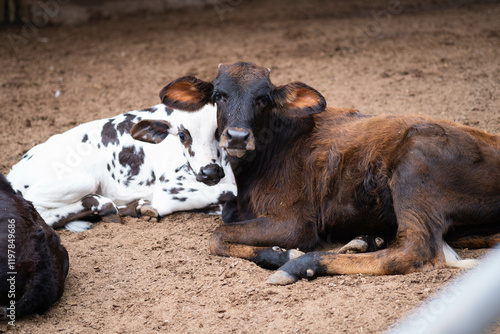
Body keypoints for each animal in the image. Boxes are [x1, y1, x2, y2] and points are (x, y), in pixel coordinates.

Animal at [7, 101, 234, 232]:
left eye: (220, 129)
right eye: (182, 135)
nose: (209, 172)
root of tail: (12, 176)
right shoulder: (170, 187)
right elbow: (227, 193)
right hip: (82, 180)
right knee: (40, 212)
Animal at [158, 61, 498, 284]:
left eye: (264, 98)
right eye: (218, 95)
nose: (238, 136)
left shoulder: (296, 223)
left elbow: (217, 237)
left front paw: (284, 256)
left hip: (415, 168)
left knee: (414, 252)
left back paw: (301, 265)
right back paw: (364, 240)